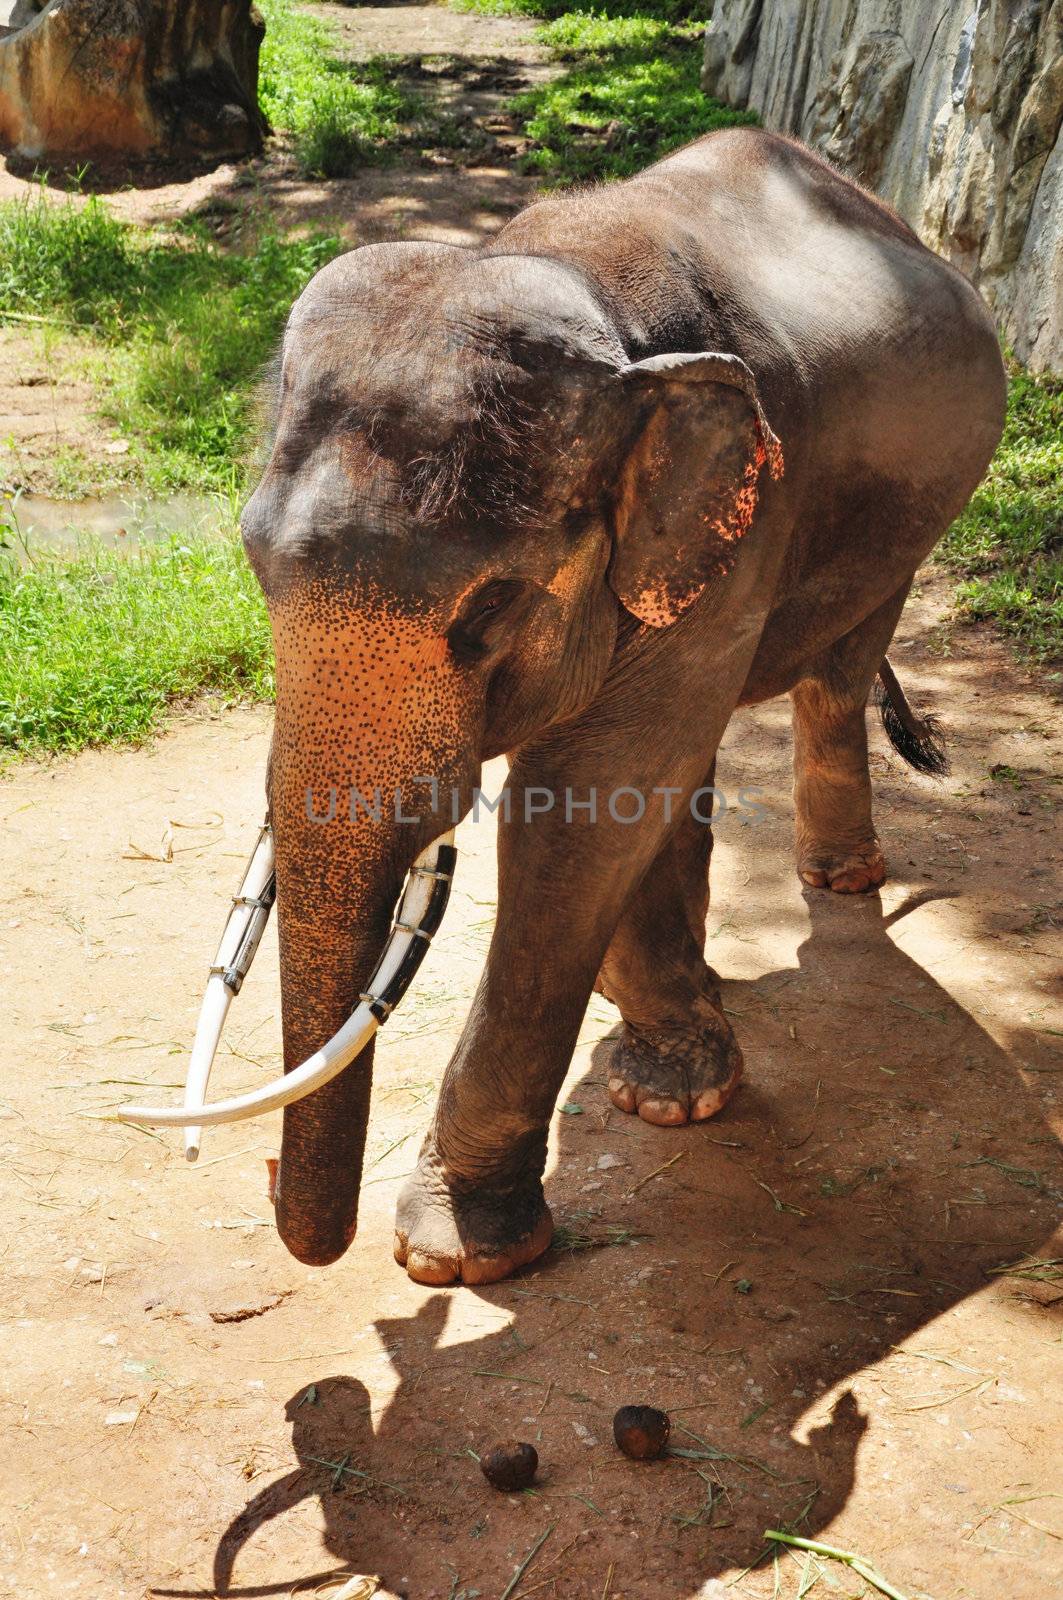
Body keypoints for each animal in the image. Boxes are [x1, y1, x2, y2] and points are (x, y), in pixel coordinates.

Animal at [188, 131, 1005, 1286]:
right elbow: (625, 799)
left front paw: (461, 1254)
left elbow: (583, 809)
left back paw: (835, 880)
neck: (579, 285)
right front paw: (671, 1069)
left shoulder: (744, 523)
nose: (269, 1184)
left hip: (919, 515)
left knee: (835, 669)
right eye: (256, 570)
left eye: (489, 608)